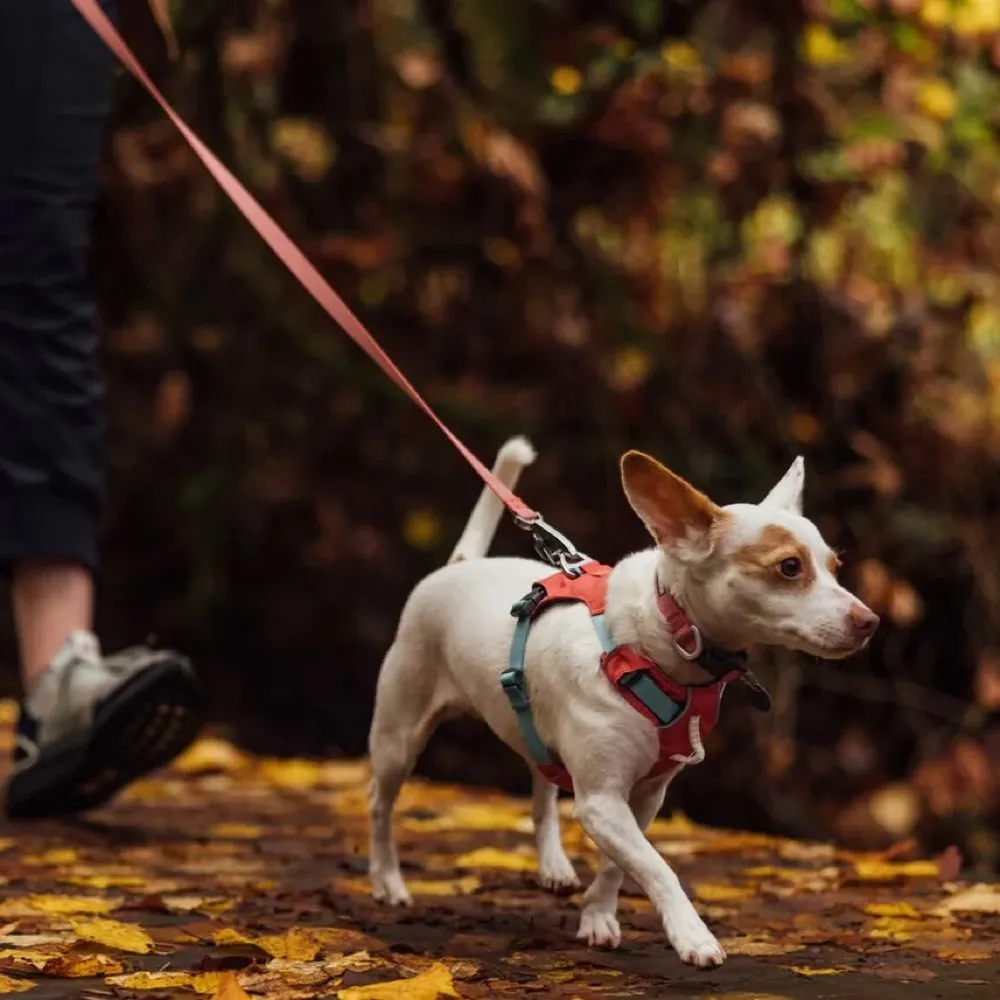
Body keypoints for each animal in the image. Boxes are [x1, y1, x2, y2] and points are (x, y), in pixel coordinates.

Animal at [368, 440, 876, 968]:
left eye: (835, 568)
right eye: (789, 567)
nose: (870, 621)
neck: (660, 641)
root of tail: (459, 565)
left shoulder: (644, 796)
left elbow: (620, 865)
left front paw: (596, 915)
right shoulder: (602, 802)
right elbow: (656, 866)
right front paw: (692, 935)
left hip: (533, 727)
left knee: (541, 790)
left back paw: (552, 865)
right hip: (399, 738)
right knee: (380, 806)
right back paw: (388, 882)